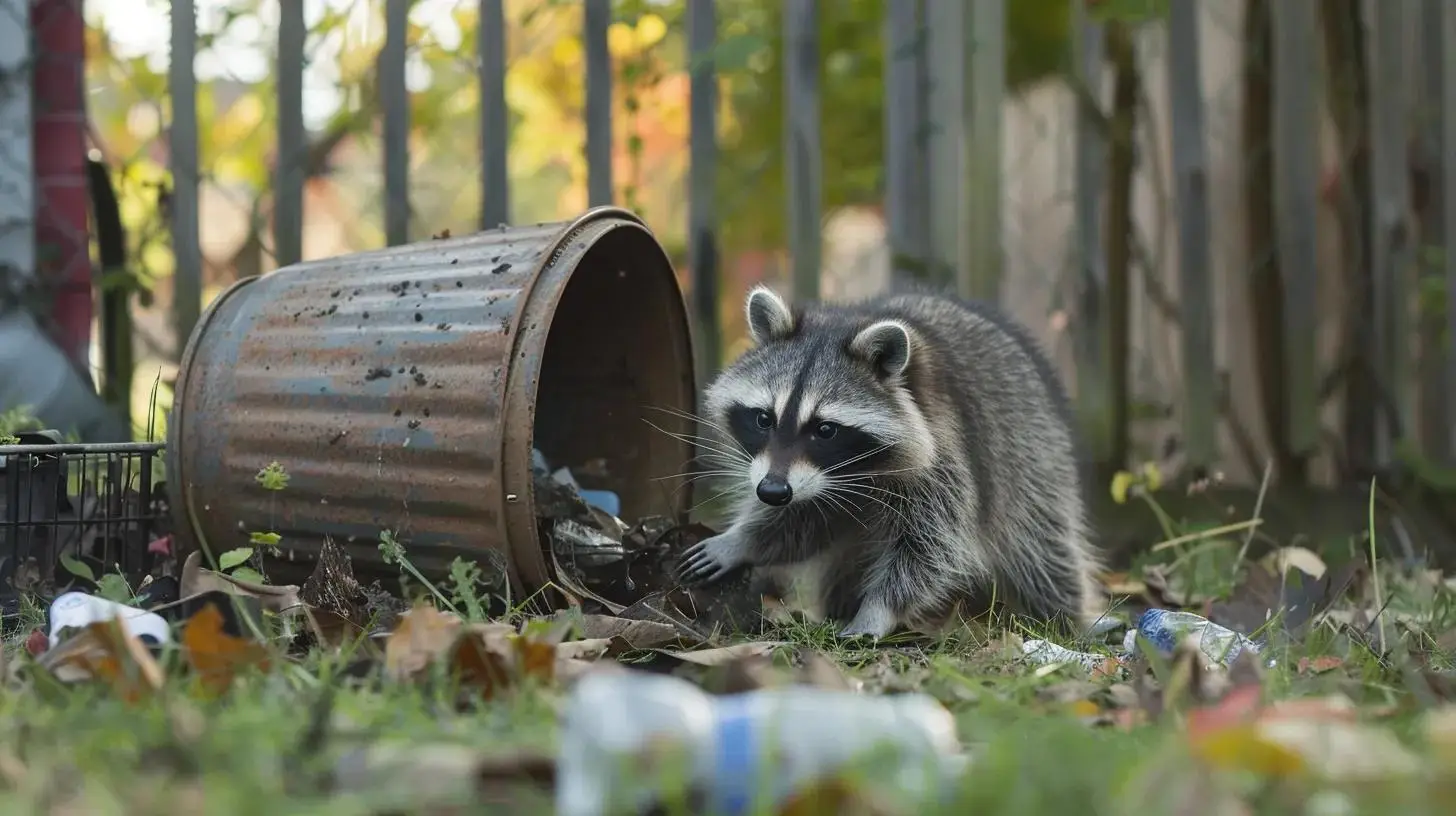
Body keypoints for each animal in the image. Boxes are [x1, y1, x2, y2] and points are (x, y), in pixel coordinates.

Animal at [676, 283, 1104, 640]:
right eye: (764, 418)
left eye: (825, 429)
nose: (771, 491)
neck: (856, 472)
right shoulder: (809, 484)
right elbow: (803, 521)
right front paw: (742, 540)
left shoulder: (944, 458)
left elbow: (930, 548)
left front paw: (877, 609)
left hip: (1031, 457)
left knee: (1042, 546)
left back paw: (1064, 617)